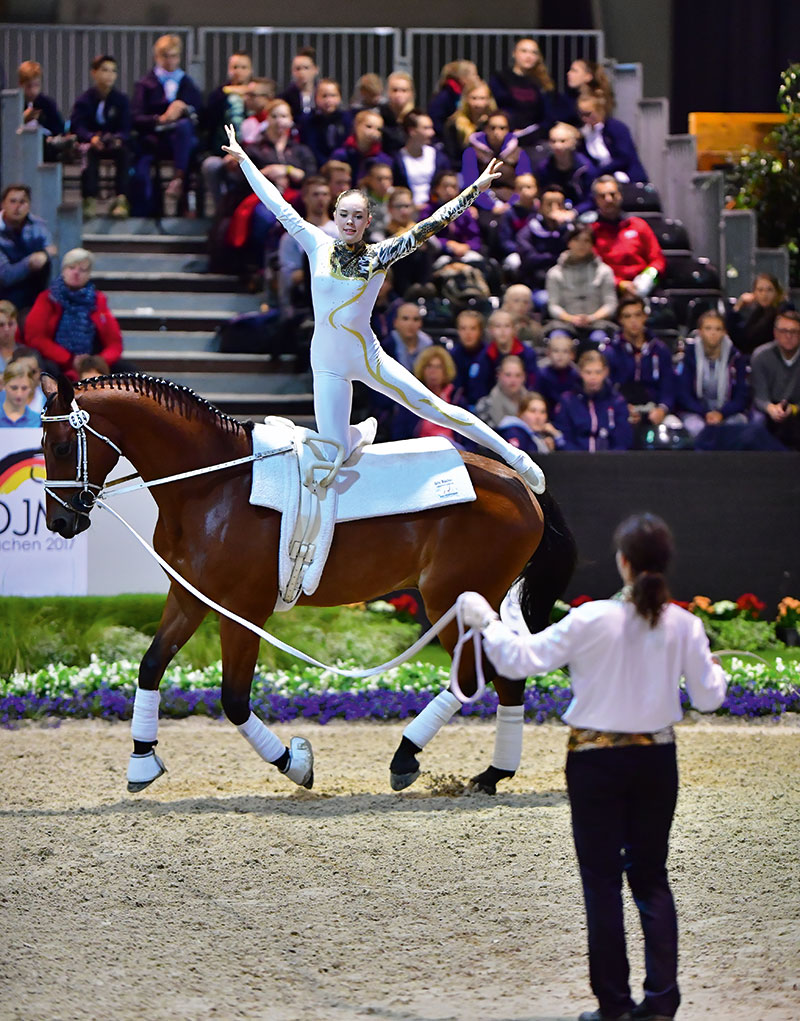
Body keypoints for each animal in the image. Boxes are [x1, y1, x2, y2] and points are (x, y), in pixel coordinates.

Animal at [40, 375, 575, 796]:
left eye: (62, 446)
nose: (60, 523)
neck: (211, 486)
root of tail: (522, 484)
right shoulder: (190, 597)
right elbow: (151, 666)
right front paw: (141, 760)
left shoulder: (243, 609)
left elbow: (234, 699)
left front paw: (295, 764)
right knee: (507, 677)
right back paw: (493, 773)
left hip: (452, 598)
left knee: (471, 677)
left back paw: (407, 757)